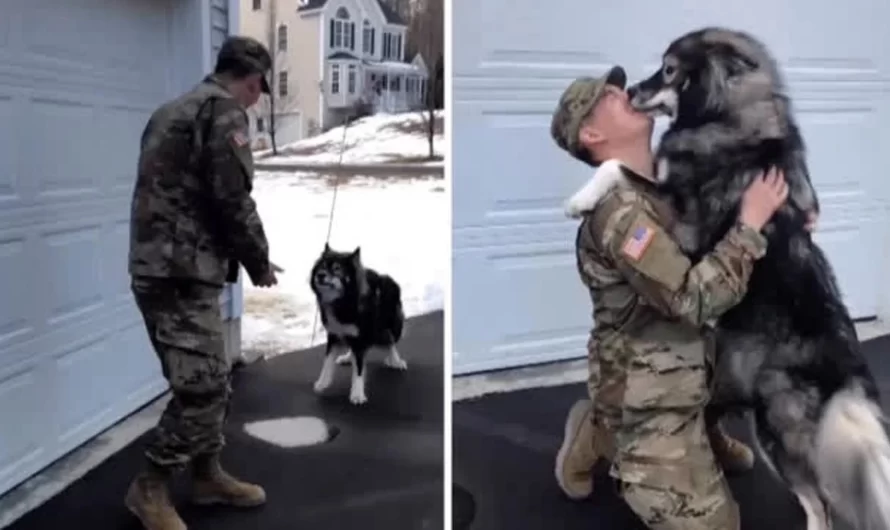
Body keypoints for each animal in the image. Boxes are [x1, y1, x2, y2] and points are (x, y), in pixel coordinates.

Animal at [308, 243, 406, 404]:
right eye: (322, 266)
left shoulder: (360, 337)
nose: (320, 275)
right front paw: (322, 382)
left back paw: (396, 360)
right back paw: (348, 357)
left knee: (390, 341)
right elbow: (327, 362)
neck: (343, 302)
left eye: (337, 268)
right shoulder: (334, 334)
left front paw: (357, 393)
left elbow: (359, 369)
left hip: (388, 325)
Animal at [564, 27, 888, 528]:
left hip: (773, 429)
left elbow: (617, 167)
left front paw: (580, 199)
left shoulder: (683, 224)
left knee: (821, 506)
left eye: (669, 71)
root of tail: (847, 383)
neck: (727, 119)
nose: (631, 91)